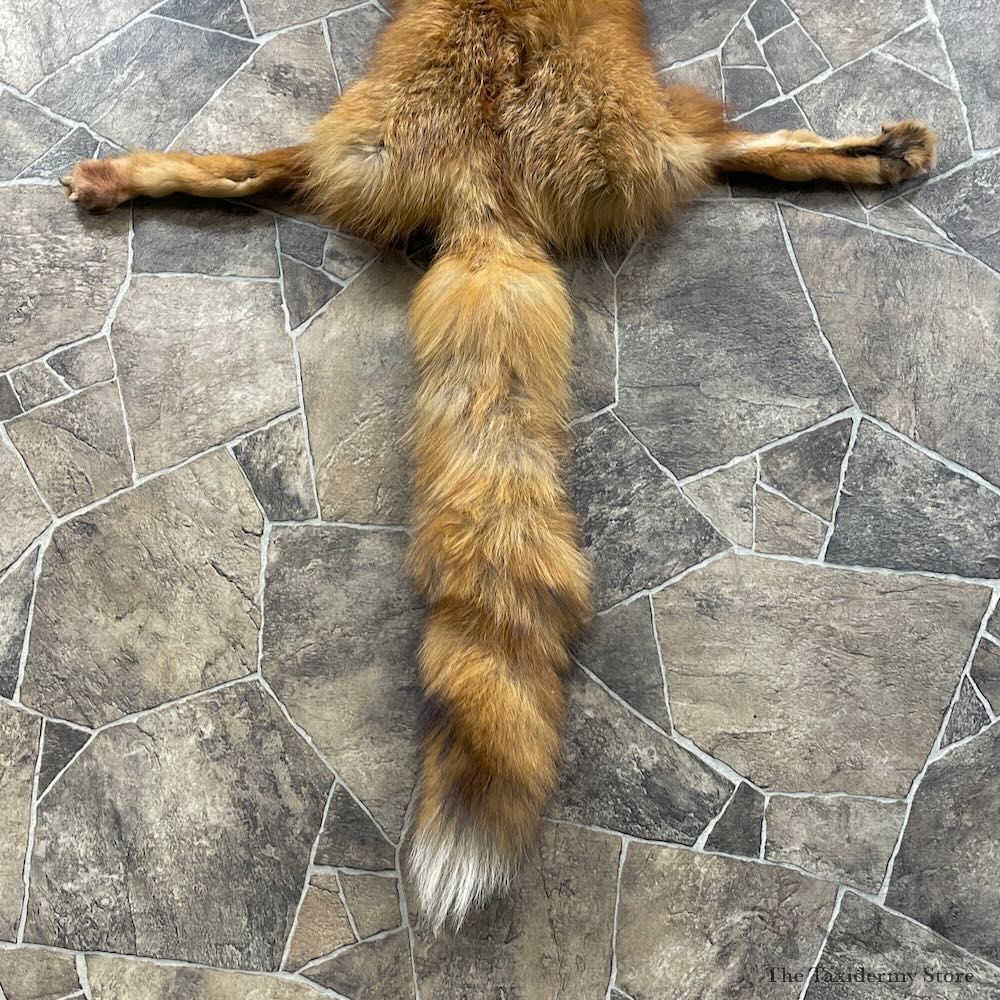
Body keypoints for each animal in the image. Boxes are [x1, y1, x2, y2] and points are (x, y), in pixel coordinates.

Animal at [60, 0, 935, 932]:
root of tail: (487, 171)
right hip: (650, 121)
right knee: (736, 150)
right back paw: (879, 154)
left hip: (352, 144)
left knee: (256, 173)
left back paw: (124, 177)